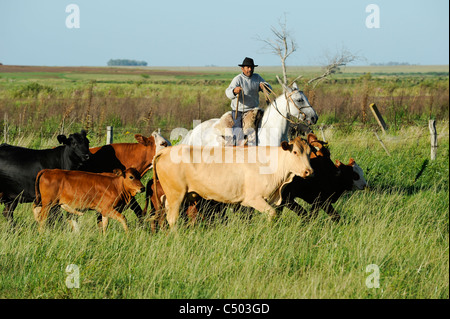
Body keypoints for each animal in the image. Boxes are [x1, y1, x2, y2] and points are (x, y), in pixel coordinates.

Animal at [153, 137, 312, 230]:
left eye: (309, 152)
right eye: (295, 152)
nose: (308, 171)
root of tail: (167, 150)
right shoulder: (254, 199)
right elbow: (272, 214)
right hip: (176, 195)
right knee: (172, 219)